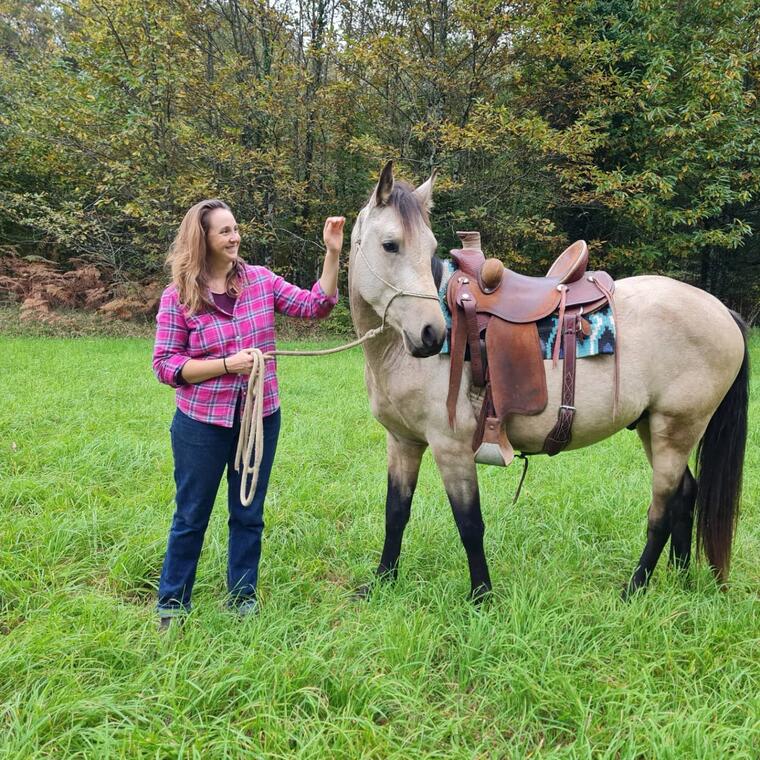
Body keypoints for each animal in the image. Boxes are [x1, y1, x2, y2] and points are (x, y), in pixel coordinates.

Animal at [348, 163, 748, 604]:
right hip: (653, 427)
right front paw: (382, 582)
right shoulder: (402, 442)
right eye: (390, 245)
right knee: (684, 496)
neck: (396, 353)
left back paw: (634, 588)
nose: (431, 334)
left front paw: (481, 596)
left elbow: (469, 523)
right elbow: (396, 512)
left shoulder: (451, 446)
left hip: (675, 431)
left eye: (430, 245)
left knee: (661, 511)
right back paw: (679, 578)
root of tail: (722, 310)